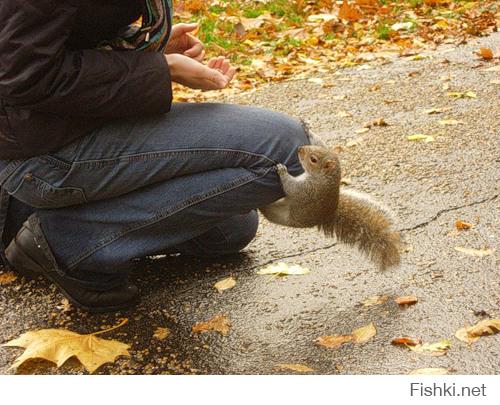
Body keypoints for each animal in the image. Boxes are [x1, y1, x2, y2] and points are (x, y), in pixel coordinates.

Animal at [260, 144, 400, 270]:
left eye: (313, 159)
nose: (299, 149)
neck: (324, 177)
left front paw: (282, 170)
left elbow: (290, 187)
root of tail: (325, 217)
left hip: (279, 213)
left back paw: (262, 209)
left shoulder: (306, 190)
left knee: (269, 212)